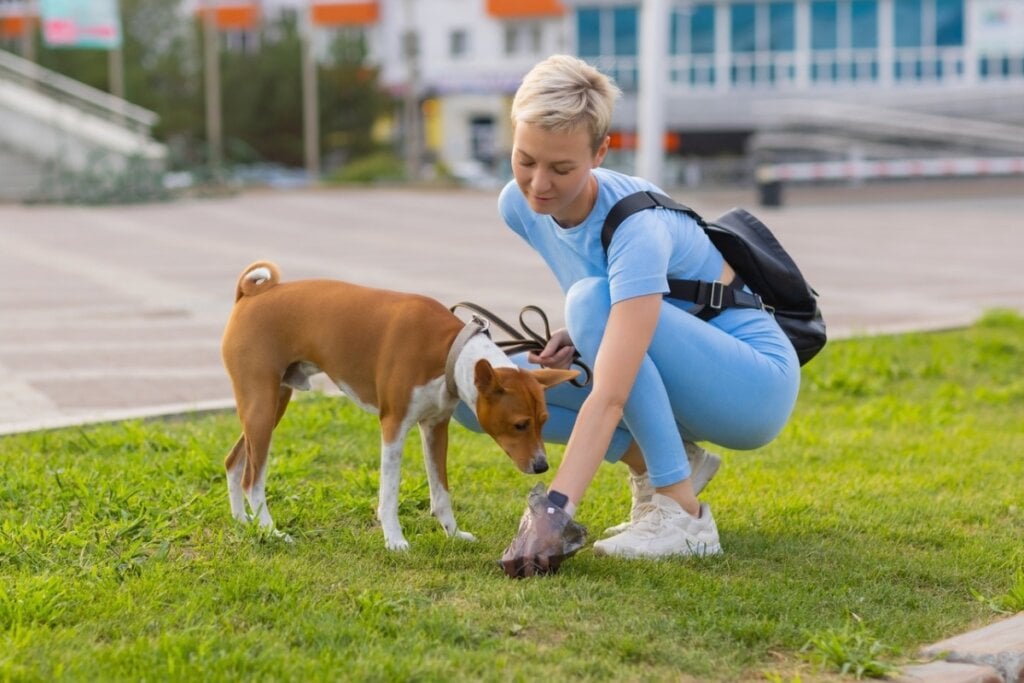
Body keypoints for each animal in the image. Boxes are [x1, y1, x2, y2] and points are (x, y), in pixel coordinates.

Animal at [221, 262, 577, 548]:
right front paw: (394, 540)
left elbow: (441, 493)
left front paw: (453, 533)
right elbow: (389, 495)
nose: (542, 466)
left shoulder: (435, 428)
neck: (447, 351)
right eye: (520, 424)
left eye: (544, 420)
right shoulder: (393, 426)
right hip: (261, 406)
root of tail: (251, 294)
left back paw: (243, 522)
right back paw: (270, 532)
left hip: (269, 407)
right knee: (252, 480)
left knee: (234, 461)